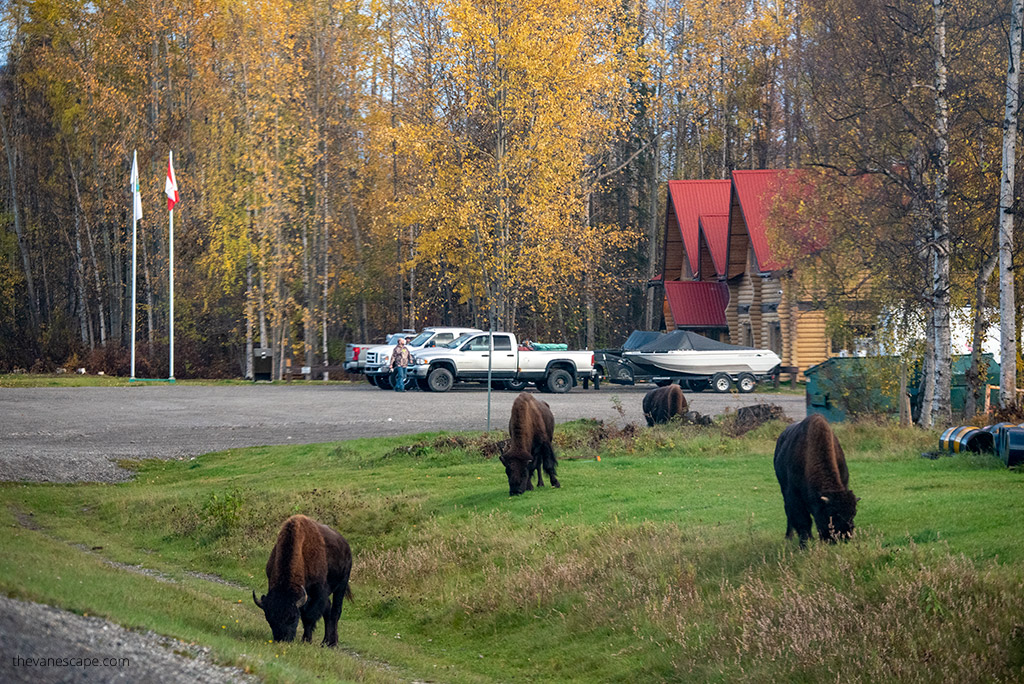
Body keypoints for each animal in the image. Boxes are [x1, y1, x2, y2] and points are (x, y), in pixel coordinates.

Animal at [251, 511, 352, 647]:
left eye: (293, 618)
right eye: (269, 619)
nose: (282, 639)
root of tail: (346, 546)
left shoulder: (318, 592)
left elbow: (309, 616)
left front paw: (306, 640)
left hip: (341, 585)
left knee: (335, 611)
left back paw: (332, 643)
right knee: (328, 611)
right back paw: (325, 642)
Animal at [770, 411, 860, 544]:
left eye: (853, 513)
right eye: (832, 514)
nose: (844, 537)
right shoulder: (794, 496)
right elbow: (803, 521)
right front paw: (804, 544)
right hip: (783, 489)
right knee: (788, 513)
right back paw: (789, 537)